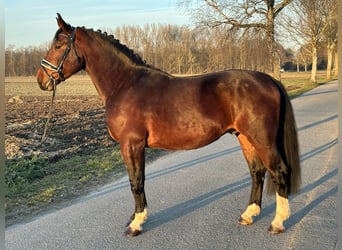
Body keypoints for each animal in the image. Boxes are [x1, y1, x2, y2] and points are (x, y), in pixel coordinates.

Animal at [36, 13, 300, 236]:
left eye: (58, 46)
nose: (41, 80)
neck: (125, 84)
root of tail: (269, 79)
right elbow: (136, 181)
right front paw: (134, 217)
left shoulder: (131, 145)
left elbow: (136, 182)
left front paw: (136, 223)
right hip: (244, 136)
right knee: (257, 172)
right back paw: (248, 215)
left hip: (262, 139)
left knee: (279, 170)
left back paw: (277, 222)